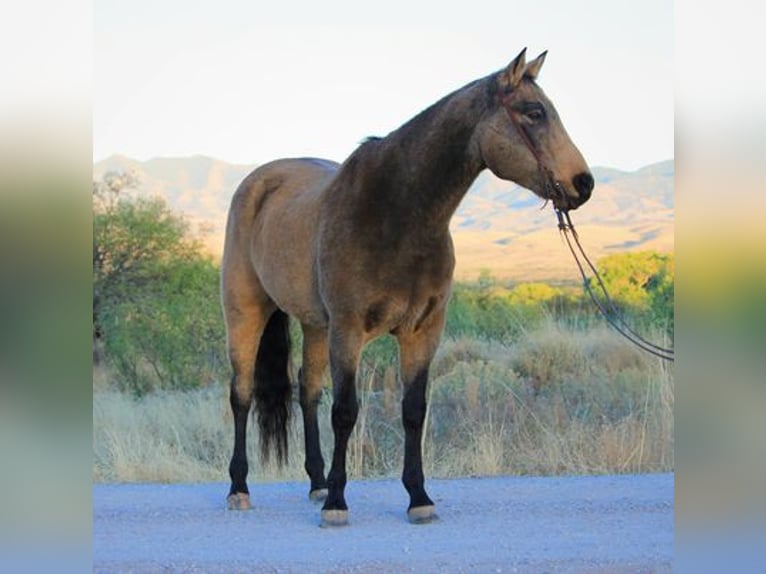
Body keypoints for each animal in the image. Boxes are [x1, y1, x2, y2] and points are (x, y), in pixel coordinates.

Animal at [220, 48, 592, 528]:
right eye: (534, 112)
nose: (584, 183)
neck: (394, 213)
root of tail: (259, 182)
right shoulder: (349, 331)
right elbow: (346, 412)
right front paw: (337, 503)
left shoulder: (422, 332)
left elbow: (413, 411)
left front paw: (418, 497)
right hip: (247, 312)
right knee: (242, 394)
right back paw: (240, 488)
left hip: (315, 325)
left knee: (308, 392)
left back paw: (316, 481)